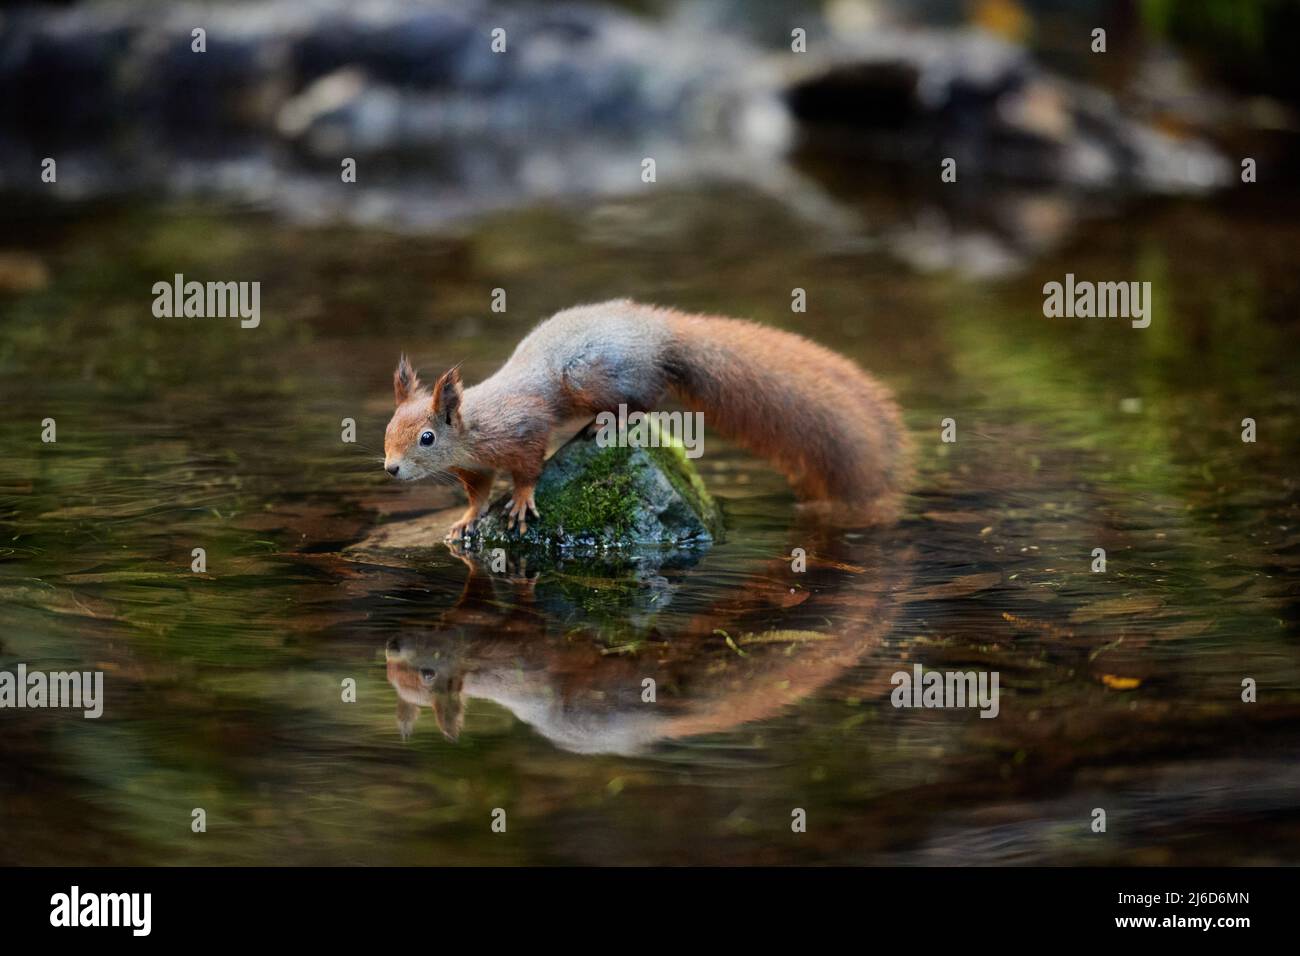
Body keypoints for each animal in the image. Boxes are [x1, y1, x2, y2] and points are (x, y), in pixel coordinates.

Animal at [383, 299, 910, 538]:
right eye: (388, 432)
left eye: (427, 438)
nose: (390, 469)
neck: (472, 429)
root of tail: (662, 336)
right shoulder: (472, 469)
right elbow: (476, 494)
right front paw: (467, 519)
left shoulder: (523, 428)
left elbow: (529, 467)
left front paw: (521, 500)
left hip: (589, 376)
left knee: (645, 401)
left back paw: (608, 423)